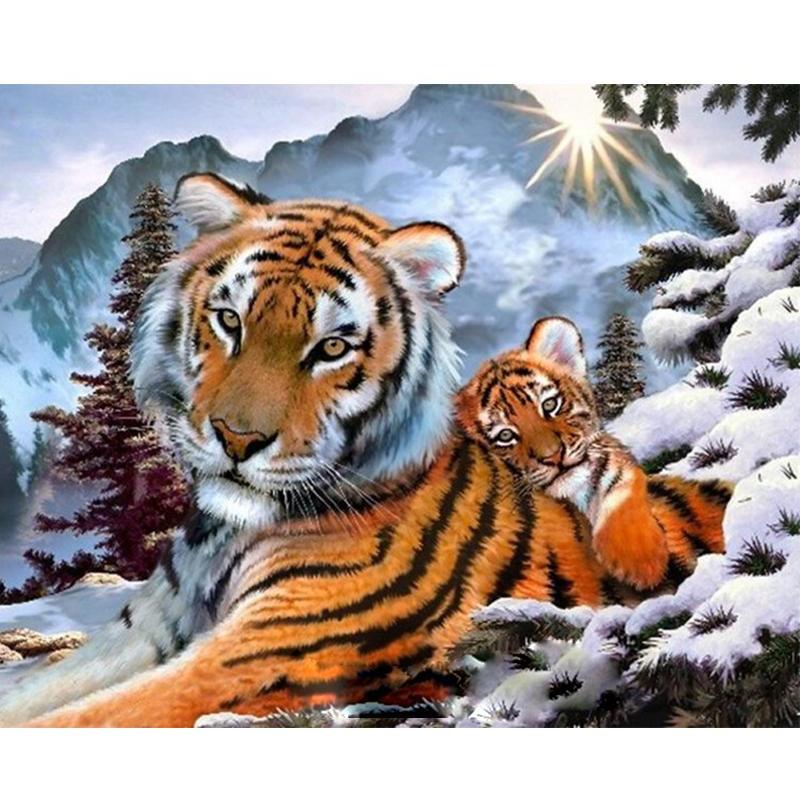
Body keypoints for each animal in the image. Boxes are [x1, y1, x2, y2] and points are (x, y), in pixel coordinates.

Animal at [0, 173, 620, 728]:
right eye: (230, 320)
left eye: (332, 348)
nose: (236, 438)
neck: (224, 538)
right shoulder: (149, 625)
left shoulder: (258, 656)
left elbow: (90, 717)